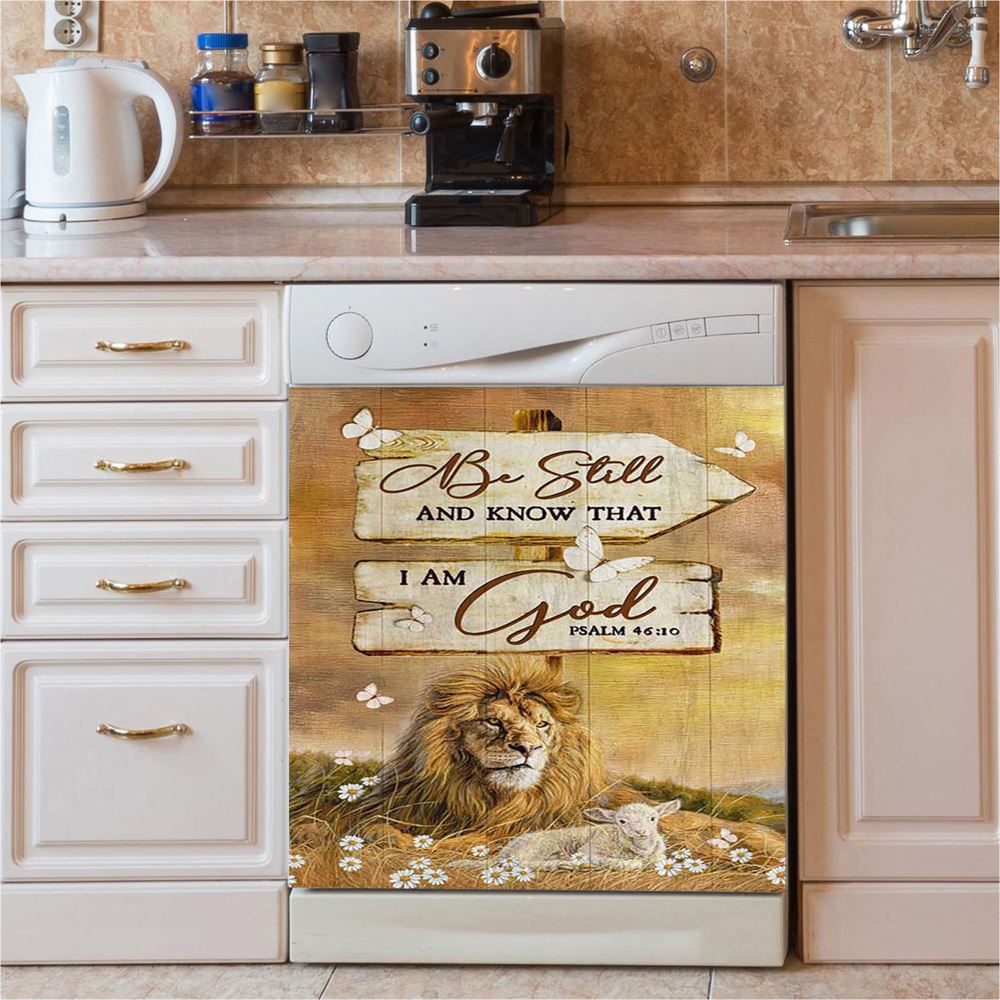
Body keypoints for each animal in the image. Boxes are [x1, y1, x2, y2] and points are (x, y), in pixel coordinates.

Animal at [348, 656, 639, 841]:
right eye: (493, 721)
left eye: (542, 724)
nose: (527, 747)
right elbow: (372, 826)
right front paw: (386, 836)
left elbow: (468, 843)